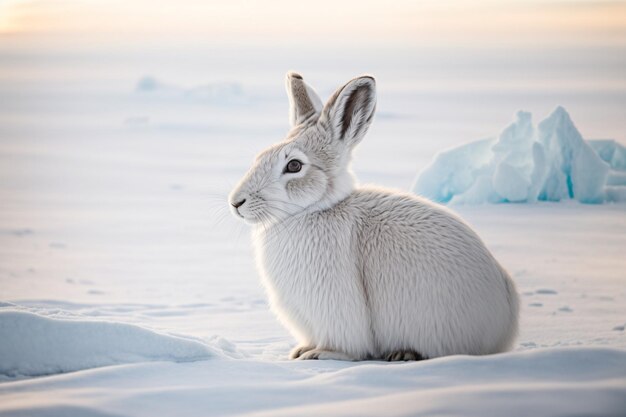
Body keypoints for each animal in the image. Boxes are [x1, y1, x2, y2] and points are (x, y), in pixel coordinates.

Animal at [229, 72, 516, 360]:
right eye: (260, 156)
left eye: (294, 165)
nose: (236, 202)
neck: (314, 209)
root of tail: (506, 324)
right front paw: (301, 351)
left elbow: (347, 345)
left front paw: (317, 354)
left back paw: (404, 354)